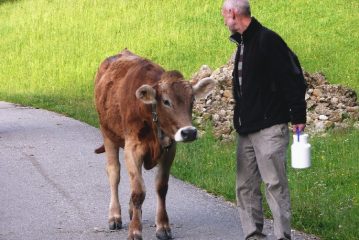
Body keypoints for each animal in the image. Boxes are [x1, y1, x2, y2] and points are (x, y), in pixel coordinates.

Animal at [94, 49, 215, 240]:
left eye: (192, 100)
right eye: (166, 101)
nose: (189, 132)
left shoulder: (170, 149)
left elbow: (160, 187)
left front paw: (163, 226)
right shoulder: (132, 148)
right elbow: (138, 190)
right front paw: (135, 231)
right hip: (107, 133)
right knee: (114, 173)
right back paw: (115, 216)